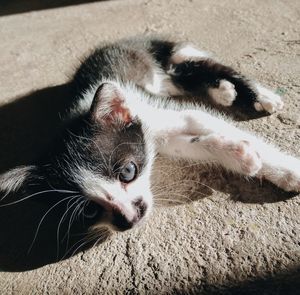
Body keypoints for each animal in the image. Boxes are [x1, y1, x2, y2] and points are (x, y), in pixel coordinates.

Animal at [0, 36, 298, 236]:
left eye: (128, 172)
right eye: (89, 211)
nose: (130, 219)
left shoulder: (163, 112)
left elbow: (205, 121)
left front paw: (285, 170)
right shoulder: (156, 137)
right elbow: (191, 143)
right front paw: (239, 155)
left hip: (163, 52)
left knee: (209, 65)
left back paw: (261, 96)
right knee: (192, 75)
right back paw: (223, 91)